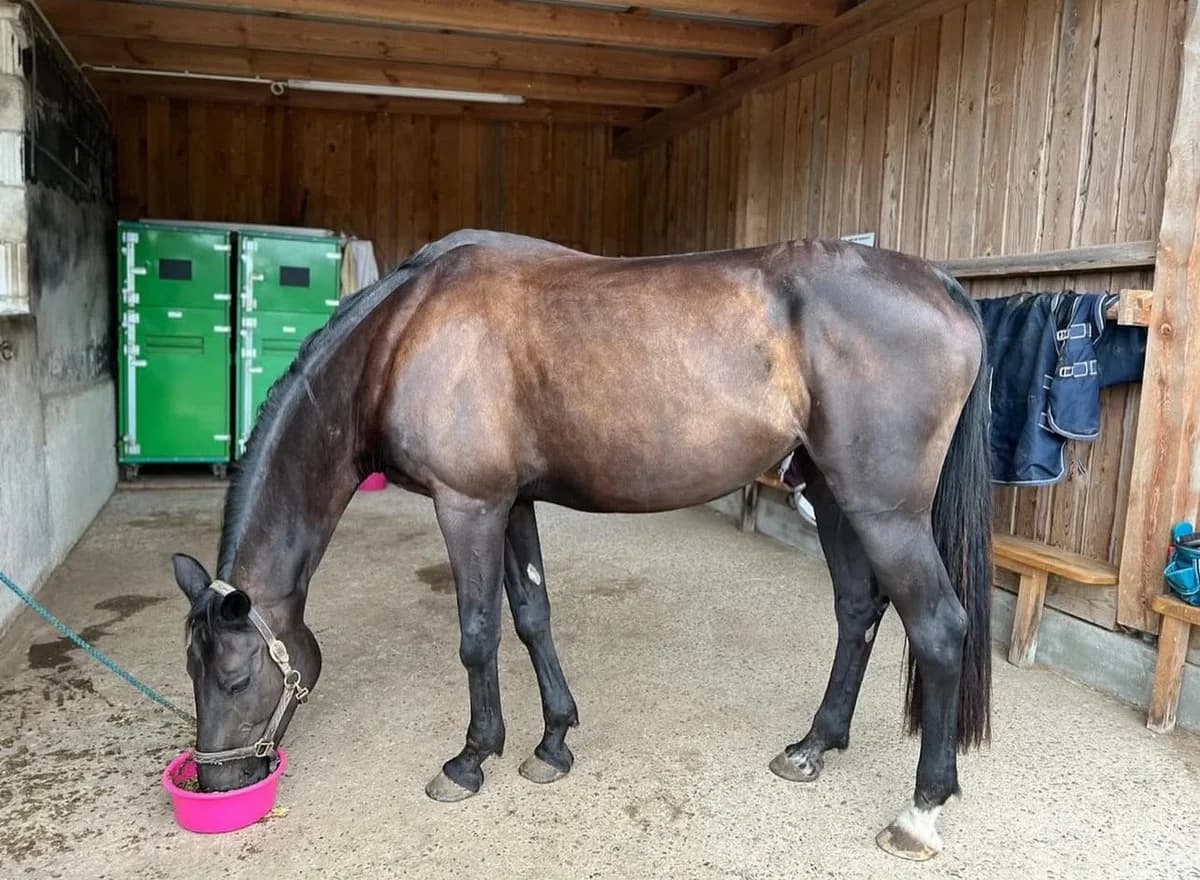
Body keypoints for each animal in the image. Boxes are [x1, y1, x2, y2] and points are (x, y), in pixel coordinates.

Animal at [171, 229, 992, 861]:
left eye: (236, 679)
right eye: (191, 669)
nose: (216, 782)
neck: (405, 332)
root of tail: (942, 285)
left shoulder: (468, 505)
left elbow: (478, 634)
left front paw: (471, 759)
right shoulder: (512, 504)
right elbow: (533, 618)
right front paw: (553, 743)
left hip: (882, 510)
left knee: (939, 628)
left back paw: (921, 811)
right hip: (833, 494)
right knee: (858, 611)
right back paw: (814, 746)